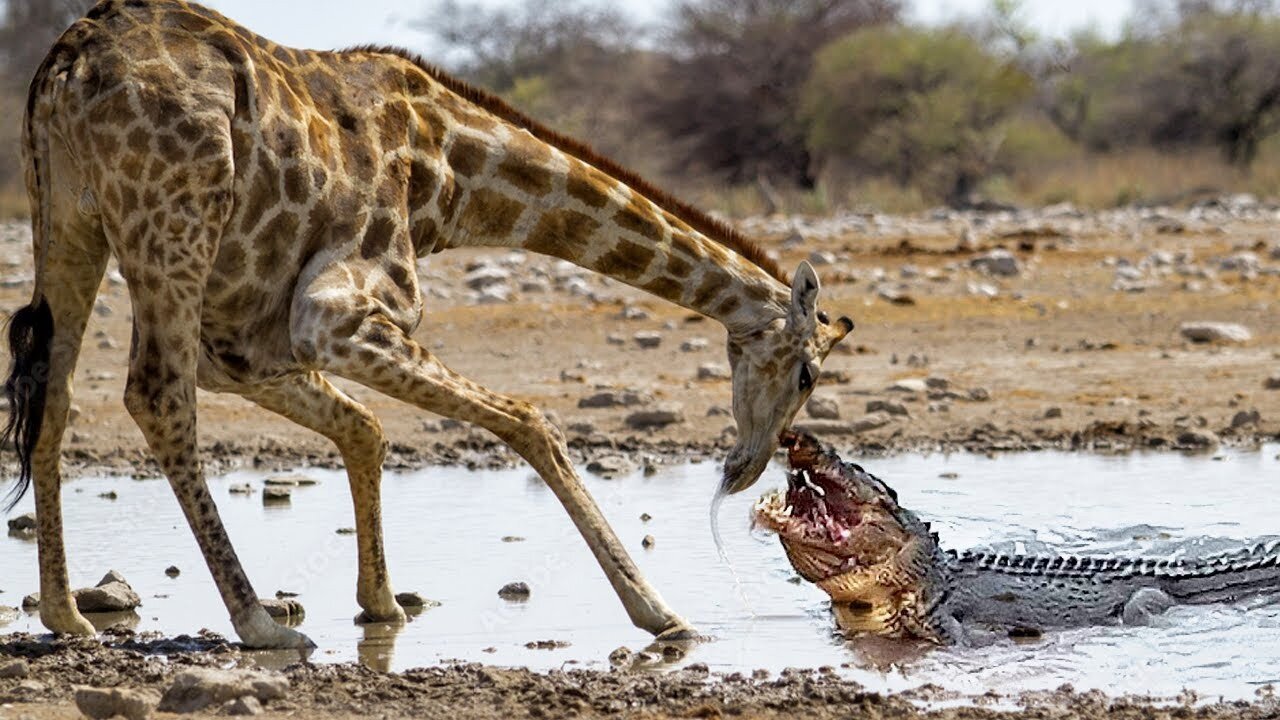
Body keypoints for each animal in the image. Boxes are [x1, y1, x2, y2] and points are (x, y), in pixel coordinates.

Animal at [7, 0, 860, 648]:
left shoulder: (242, 342)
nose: (743, 470)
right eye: (808, 374)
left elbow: (364, 428)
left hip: (71, 219)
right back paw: (259, 622)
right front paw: (659, 611)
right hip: (171, 223)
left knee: (53, 393)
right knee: (153, 395)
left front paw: (381, 604)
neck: (456, 179)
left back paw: (68, 615)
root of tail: (68, 60)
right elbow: (527, 419)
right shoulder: (329, 315)